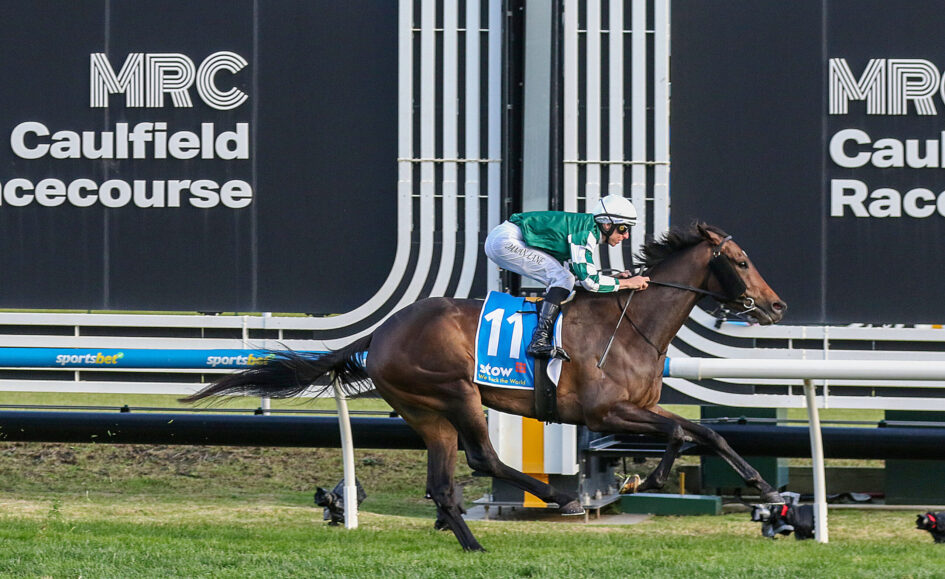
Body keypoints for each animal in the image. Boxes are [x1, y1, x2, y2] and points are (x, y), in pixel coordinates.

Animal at [181, 222, 787, 551]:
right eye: (740, 260)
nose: (776, 306)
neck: (630, 321)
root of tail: (381, 332)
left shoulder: (634, 411)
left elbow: (702, 434)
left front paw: (764, 489)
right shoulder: (603, 413)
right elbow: (687, 433)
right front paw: (653, 479)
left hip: (427, 415)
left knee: (444, 483)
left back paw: (471, 542)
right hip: (456, 395)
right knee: (484, 460)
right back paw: (552, 498)